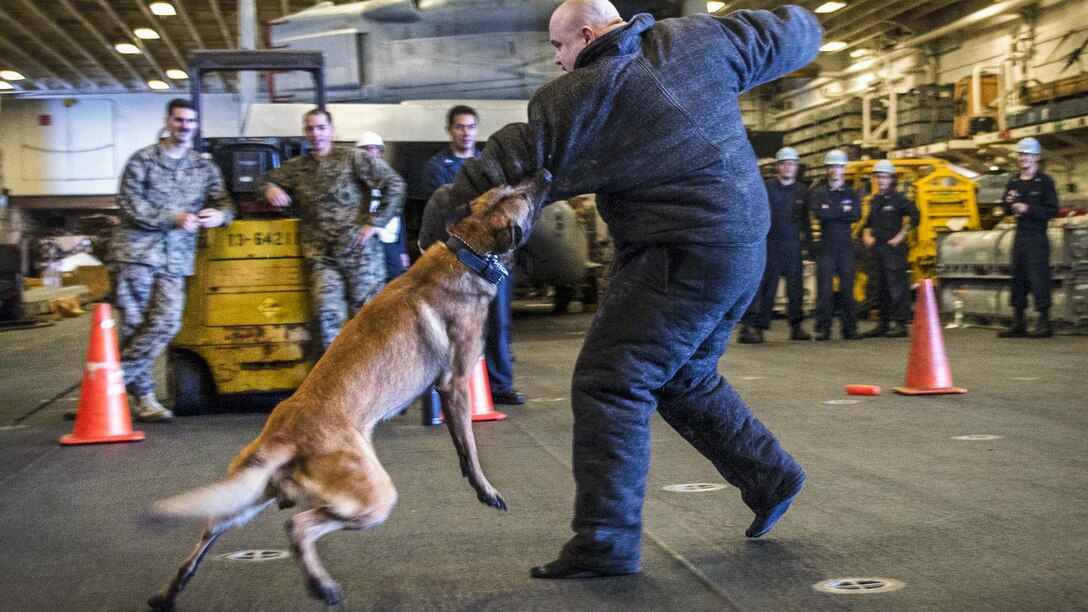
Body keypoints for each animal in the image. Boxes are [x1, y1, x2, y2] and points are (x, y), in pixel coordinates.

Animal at [146, 168, 552, 605]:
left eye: (513, 186)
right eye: (523, 197)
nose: (545, 173)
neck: (468, 250)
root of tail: (283, 439)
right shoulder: (457, 383)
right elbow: (471, 448)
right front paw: (485, 489)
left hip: (245, 496)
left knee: (210, 532)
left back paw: (169, 592)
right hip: (375, 497)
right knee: (298, 527)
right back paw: (322, 585)